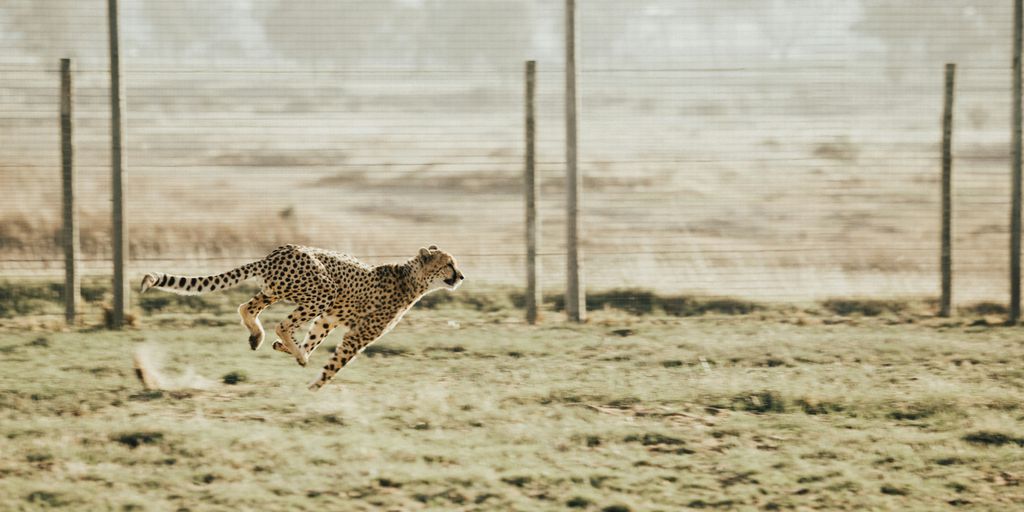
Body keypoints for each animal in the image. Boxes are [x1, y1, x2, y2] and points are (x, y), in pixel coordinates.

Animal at [139, 244, 464, 391]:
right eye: (448, 264)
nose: (461, 276)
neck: (411, 278)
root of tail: (277, 252)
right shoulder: (357, 334)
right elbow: (335, 363)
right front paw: (314, 386)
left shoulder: (329, 318)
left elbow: (315, 338)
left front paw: (292, 352)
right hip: (323, 290)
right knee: (282, 323)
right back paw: (290, 349)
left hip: (278, 291)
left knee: (247, 307)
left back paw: (260, 338)